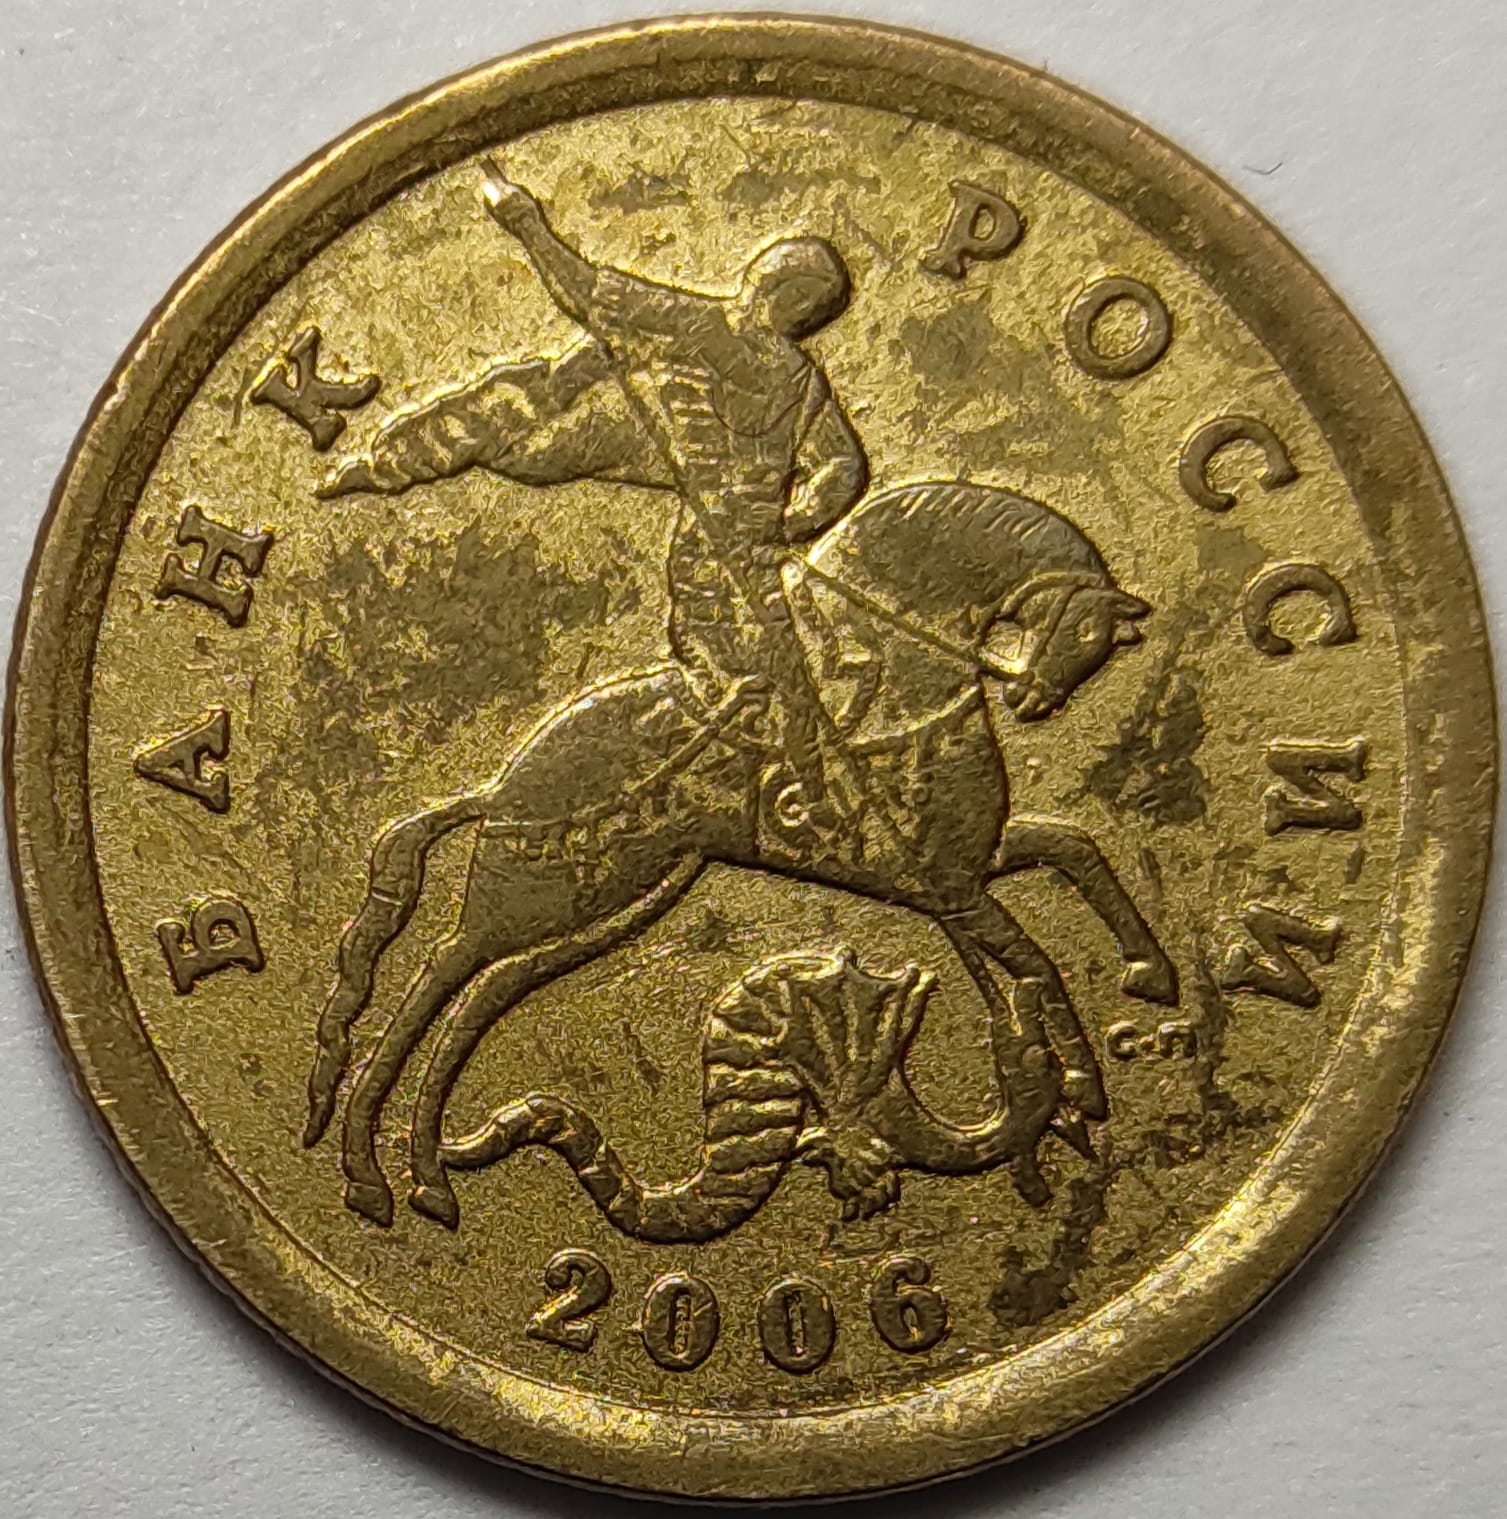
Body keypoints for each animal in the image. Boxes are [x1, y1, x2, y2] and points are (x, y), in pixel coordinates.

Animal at [303, 480, 1177, 1229]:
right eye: (1089, 630)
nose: (1036, 699)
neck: (901, 684)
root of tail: (504, 781)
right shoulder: (950, 886)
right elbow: (1037, 959)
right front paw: (1081, 1078)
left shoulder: (959, 870)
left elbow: (1073, 849)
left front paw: (1144, 977)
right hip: (533, 894)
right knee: (436, 974)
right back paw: (370, 1173)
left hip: (616, 899)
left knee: (481, 994)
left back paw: (424, 1175)